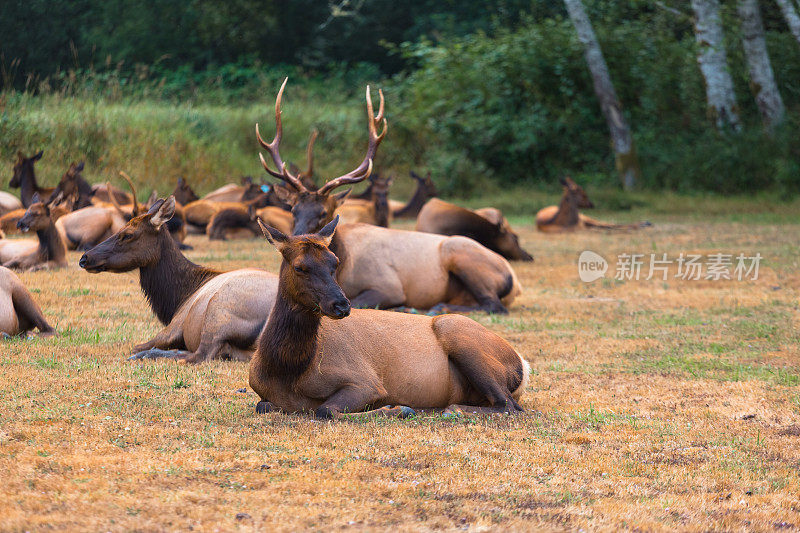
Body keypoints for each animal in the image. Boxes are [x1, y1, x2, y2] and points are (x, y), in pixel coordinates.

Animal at [78, 195, 278, 362]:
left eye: (127, 234)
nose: (85, 258)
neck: (178, 297)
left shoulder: (176, 324)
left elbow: (136, 346)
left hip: (218, 313)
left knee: (199, 355)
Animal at [250, 214, 532, 418]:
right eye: (300, 267)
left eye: (335, 262)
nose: (341, 305)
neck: (288, 369)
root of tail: (523, 365)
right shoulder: (263, 394)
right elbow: (262, 405)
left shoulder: (365, 382)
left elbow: (325, 410)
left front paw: (397, 408)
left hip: (459, 334)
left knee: (510, 406)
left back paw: (448, 410)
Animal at [256, 78, 520, 312]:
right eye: (293, 210)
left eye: (323, 212)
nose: (296, 242)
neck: (346, 265)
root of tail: (514, 281)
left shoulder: (389, 285)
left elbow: (361, 302)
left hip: (462, 256)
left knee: (494, 305)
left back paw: (433, 307)